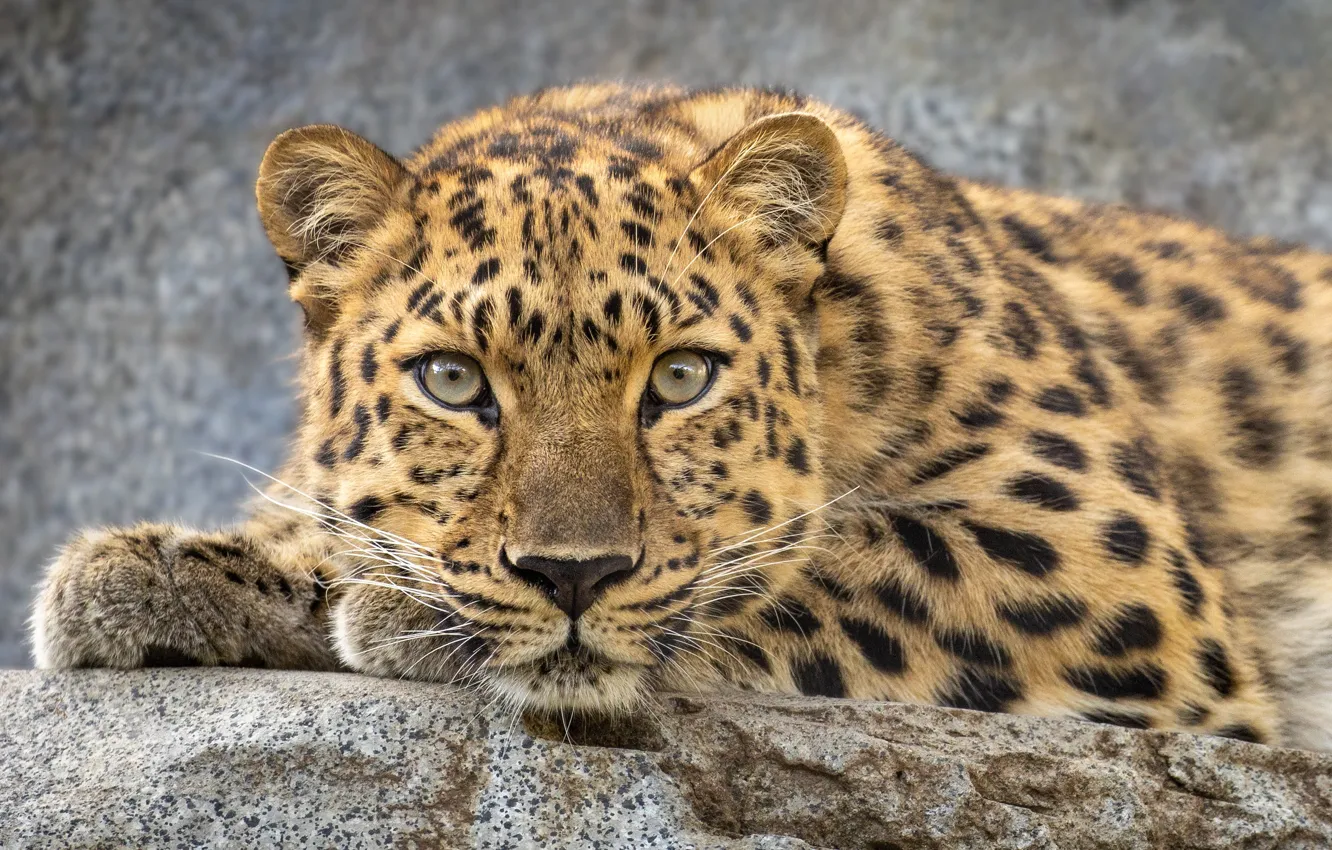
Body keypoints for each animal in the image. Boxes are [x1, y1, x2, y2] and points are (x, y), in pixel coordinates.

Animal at [30, 83, 1332, 752]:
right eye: (455, 381)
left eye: (680, 379)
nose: (572, 574)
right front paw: (168, 570)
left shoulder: (1108, 557)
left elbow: (828, 560)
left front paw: (398, 611)